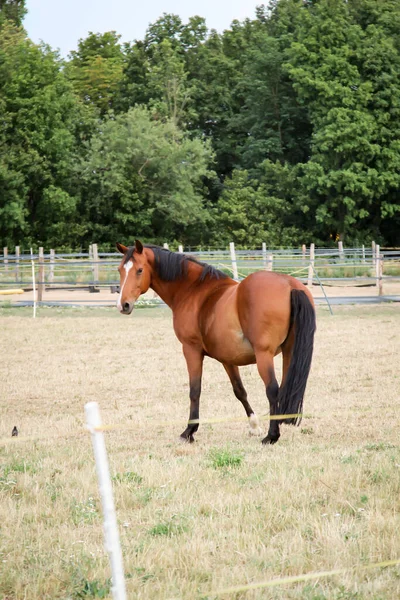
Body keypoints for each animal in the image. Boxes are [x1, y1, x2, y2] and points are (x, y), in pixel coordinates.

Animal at [115, 240, 316, 446]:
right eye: (120, 270)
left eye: (139, 270)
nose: (123, 305)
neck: (194, 290)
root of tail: (289, 285)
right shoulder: (228, 359)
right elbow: (239, 391)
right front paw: (254, 426)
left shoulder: (191, 350)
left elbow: (195, 390)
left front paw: (189, 431)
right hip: (289, 351)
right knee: (286, 388)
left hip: (264, 355)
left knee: (273, 390)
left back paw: (272, 435)